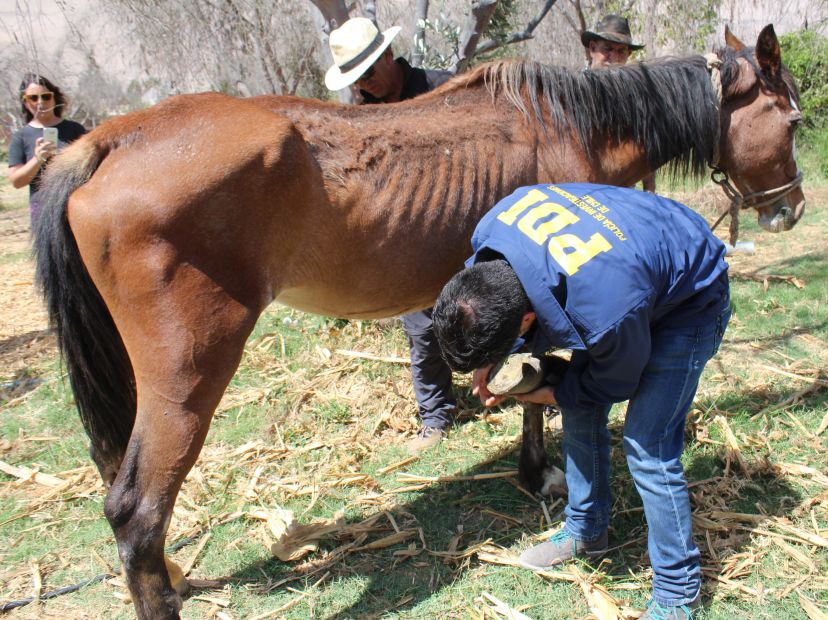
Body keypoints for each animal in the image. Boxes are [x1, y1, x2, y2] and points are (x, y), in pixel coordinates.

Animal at [34, 25, 804, 620]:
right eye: (794, 120)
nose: (790, 208)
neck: (567, 124)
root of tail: (113, 137)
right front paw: (542, 475)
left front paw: (533, 470)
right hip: (188, 375)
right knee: (134, 509)